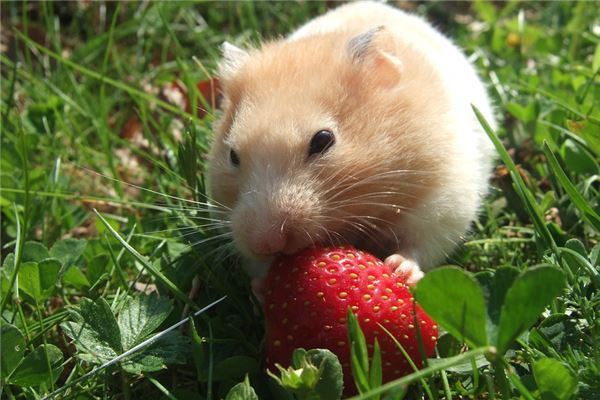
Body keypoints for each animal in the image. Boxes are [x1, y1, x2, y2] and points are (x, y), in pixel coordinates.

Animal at [204, 0, 494, 282]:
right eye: (232, 155)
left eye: (323, 140)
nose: (265, 242)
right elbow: (259, 269)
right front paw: (262, 286)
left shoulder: (444, 202)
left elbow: (420, 246)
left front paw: (399, 269)